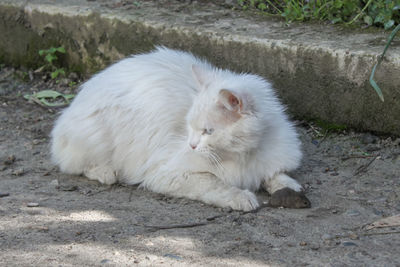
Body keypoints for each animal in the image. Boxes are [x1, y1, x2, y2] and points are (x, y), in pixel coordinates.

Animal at [51, 47, 304, 211]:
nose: (191, 145)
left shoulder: (271, 159)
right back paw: (106, 173)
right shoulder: (169, 172)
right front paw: (241, 197)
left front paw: (291, 189)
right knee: (75, 165)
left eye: (208, 132)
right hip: (97, 137)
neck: (244, 155)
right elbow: (213, 183)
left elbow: (277, 175)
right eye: (190, 127)